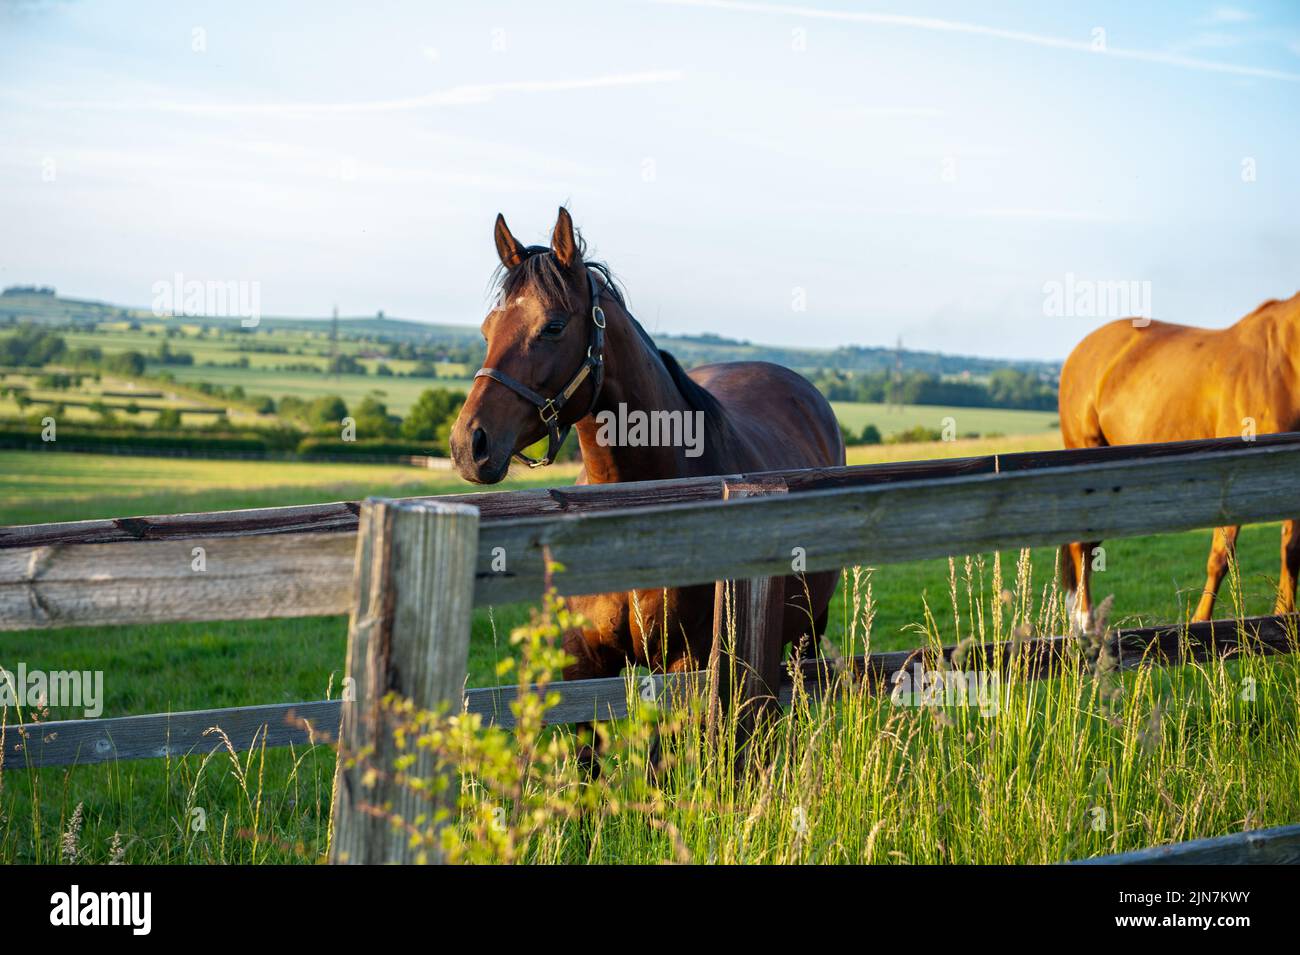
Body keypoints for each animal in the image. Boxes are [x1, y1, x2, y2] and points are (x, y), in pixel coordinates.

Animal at [449, 207, 845, 685]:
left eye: (553, 326)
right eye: (488, 329)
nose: (469, 444)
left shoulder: (686, 662)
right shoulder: (582, 663)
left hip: (810, 626)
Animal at [1058, 291, 1300, 630]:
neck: (1286, 364)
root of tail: (1081, 350)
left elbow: (1291, 551)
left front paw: (1283, 619)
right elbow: (1221, 555)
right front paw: (1200, 622)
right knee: (1082, 547)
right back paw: (1085, 622)